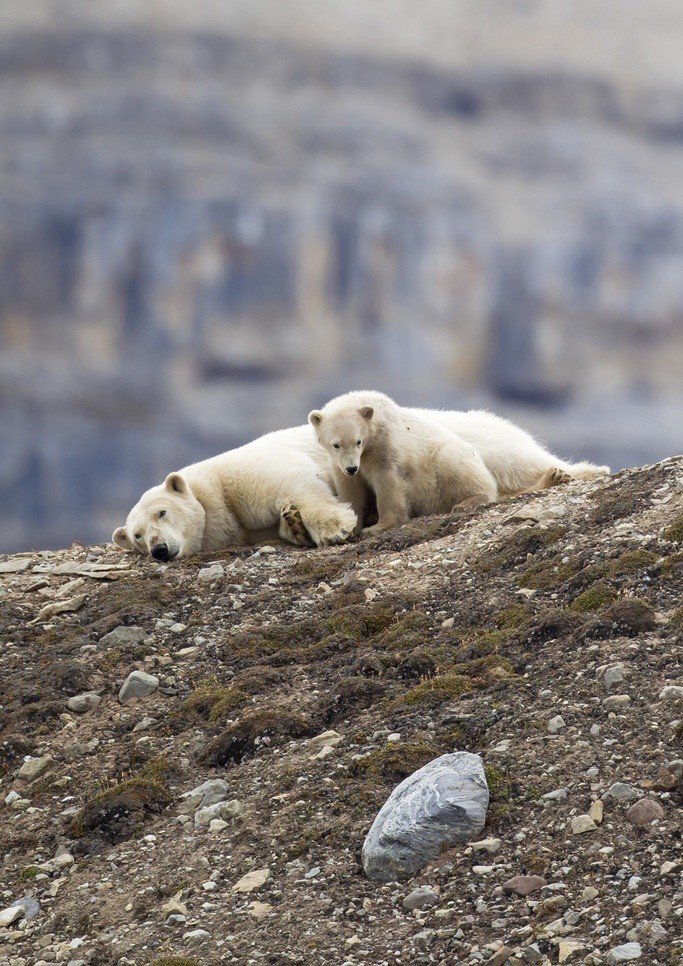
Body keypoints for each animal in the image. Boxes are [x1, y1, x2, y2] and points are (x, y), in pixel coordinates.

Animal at [111, 430, 358, 564]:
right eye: (137, 535)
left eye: (162, 512)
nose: (159, 549)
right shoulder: (243, 530)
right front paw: (294, 524)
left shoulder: (245, 478)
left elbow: (298, 483)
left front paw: (334, 529)